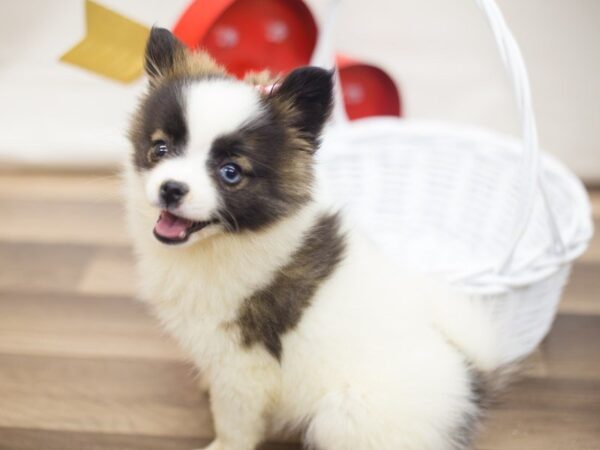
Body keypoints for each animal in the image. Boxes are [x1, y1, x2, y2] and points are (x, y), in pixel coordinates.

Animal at [124, 27, 508, 450]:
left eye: (230, 172)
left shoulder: (242, 366)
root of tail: (469, 381)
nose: (171, 188)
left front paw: (222, 445)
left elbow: (234, 422)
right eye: (160, 148)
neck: (225, 242)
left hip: (343, 416)